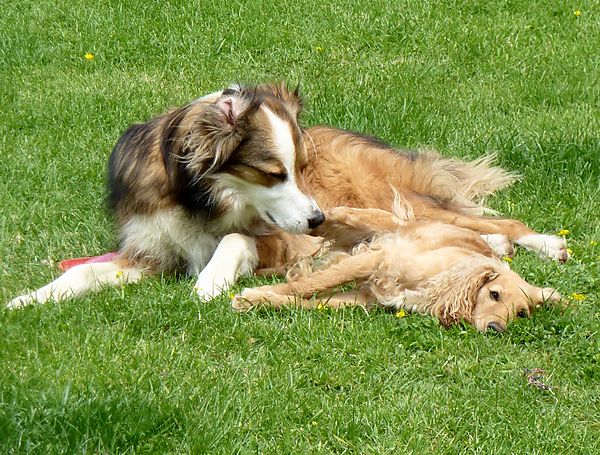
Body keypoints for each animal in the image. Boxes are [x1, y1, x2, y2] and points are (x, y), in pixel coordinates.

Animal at [5, 83, 324, 308]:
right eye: (274, 174)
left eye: (302, 167)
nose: (318, 219)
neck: (197, 201)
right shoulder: (151, 254)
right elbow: (83, 271)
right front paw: (32, 298)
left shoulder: (294, 242)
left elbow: (235, 237)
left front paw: (210, 280)